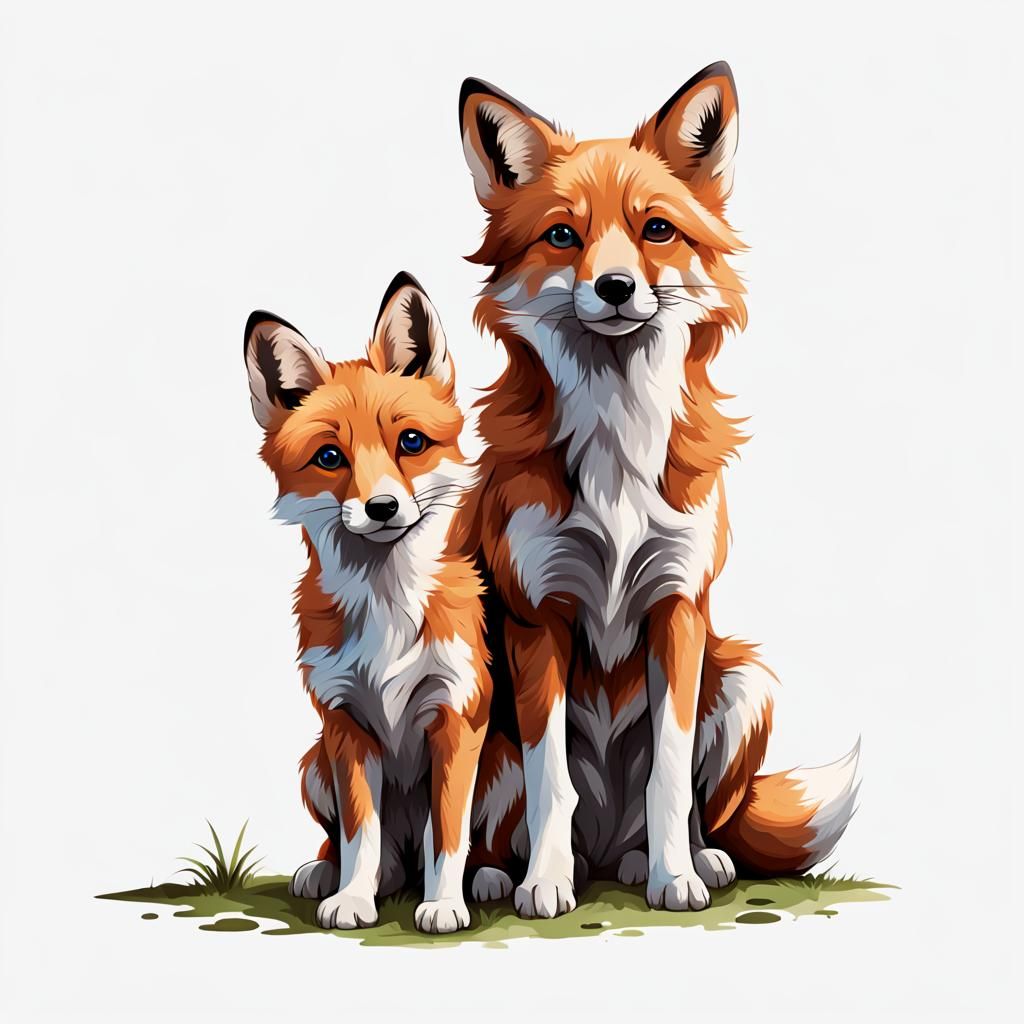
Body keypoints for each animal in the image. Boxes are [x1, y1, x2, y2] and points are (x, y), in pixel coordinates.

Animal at [244, 272, 512, 934]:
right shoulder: (345, 724)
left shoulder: (454, 716)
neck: (387, 610)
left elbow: (447, 833)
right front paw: (354, 899)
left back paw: (487, 878)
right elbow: (360, 835)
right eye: (330, 458)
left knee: (471, 841)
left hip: (503, 762)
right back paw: (333, 874)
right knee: (360, 847)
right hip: (314, 765)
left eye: (411, 442)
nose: (383, 508)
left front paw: (442, 905)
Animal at [458, 62, 860, 918]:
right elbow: (552, 783)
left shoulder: (679, 606)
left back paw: (682, 860)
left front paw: (676, 877)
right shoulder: (537, 615)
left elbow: (669, 779)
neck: (617, 446)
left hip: (740, 680)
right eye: (564, 235)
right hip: (492, 715)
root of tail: (608, 853)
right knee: (515, 815)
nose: (614, 288)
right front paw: (546, 881)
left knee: (680, 812)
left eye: (656, 230)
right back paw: (503, 875)